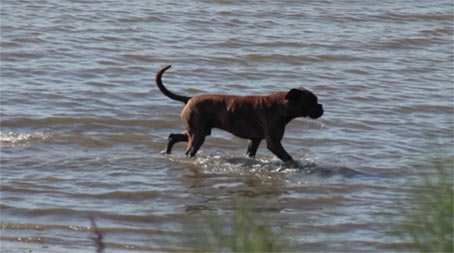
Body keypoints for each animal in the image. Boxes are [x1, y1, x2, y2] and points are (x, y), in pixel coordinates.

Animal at [156, 65, 322, 163]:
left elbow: (251, 153)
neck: (282, 104)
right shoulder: (274, 143)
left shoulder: (254, 140)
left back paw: (167, 152)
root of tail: (189, 98)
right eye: (313, 101)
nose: (321, 107)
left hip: (197, 131)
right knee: (188, 149)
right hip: (198, 135)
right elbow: (288, 158)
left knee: (173, 136)